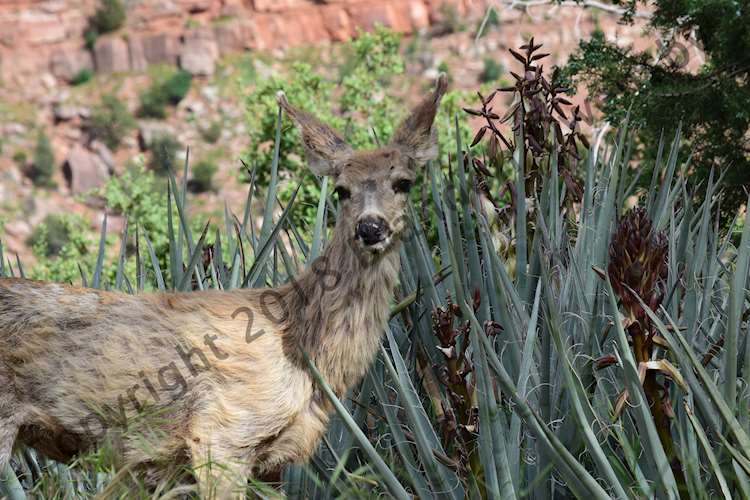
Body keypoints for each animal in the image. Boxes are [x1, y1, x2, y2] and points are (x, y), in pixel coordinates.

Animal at [0, 73, 446, 496]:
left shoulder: (272, 463)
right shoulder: (223, 431)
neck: (303, 349)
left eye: (403, 183)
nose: (370, 228)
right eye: (341, 190)